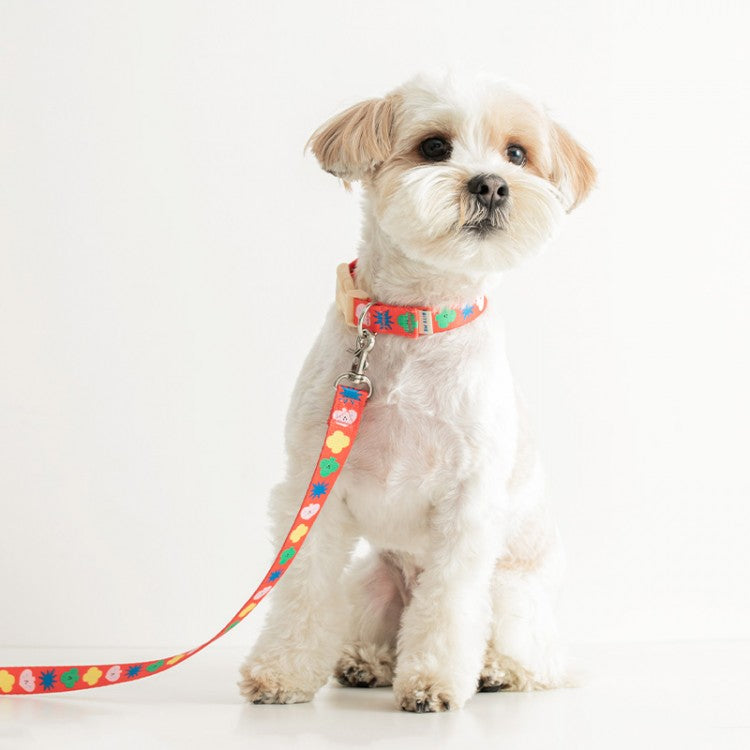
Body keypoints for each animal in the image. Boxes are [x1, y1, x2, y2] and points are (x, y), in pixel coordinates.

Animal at [238, 73, 596, 712]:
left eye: (517, 154)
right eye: (433, 146)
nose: (492, 184)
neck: (417, 320)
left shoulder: (467, 509)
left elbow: (449, 606)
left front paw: (433, 683)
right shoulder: (313, 484)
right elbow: (303, 590)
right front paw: (282, 672)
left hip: (512, 595)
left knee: (537, 659)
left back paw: (497, 672)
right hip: (373, 582)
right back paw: (366, 662)